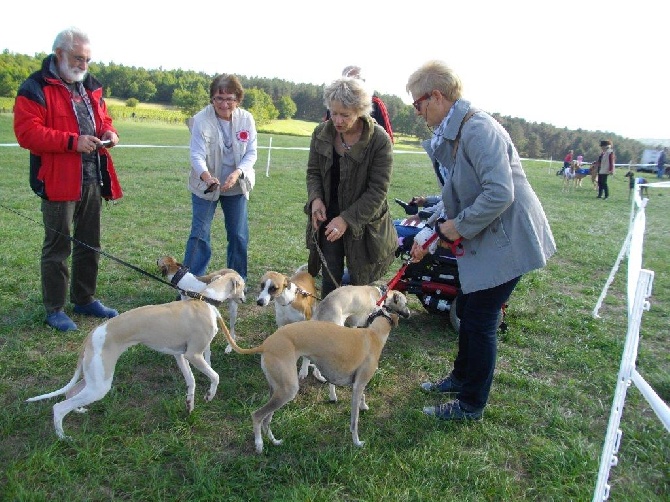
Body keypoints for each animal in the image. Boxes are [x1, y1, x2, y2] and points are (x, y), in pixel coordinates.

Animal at [26, 270, 247, 440]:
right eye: (243, 286)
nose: (245, 298)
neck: (206, 299)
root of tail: (91, 335)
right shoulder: (194, 354)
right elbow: (215, 376)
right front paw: (210, 395)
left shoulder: (180, 355)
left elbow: (191, 381)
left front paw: (189, 405)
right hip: (100, 385)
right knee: (59, 407)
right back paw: (63, 437)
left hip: (94, 377)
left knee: (71, 392)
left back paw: (78, 411)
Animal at [220, 308, 400, 452]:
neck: (374, 333)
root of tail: (266, 344)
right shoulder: (359, 384)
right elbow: (354, 421)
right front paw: (357, 442)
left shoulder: (356, 384)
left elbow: (361, 395)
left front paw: (363, 405)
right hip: (287, 389)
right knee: (257, 415)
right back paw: (259, 445)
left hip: (277, 389)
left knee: (266, 420)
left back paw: (274, 441)